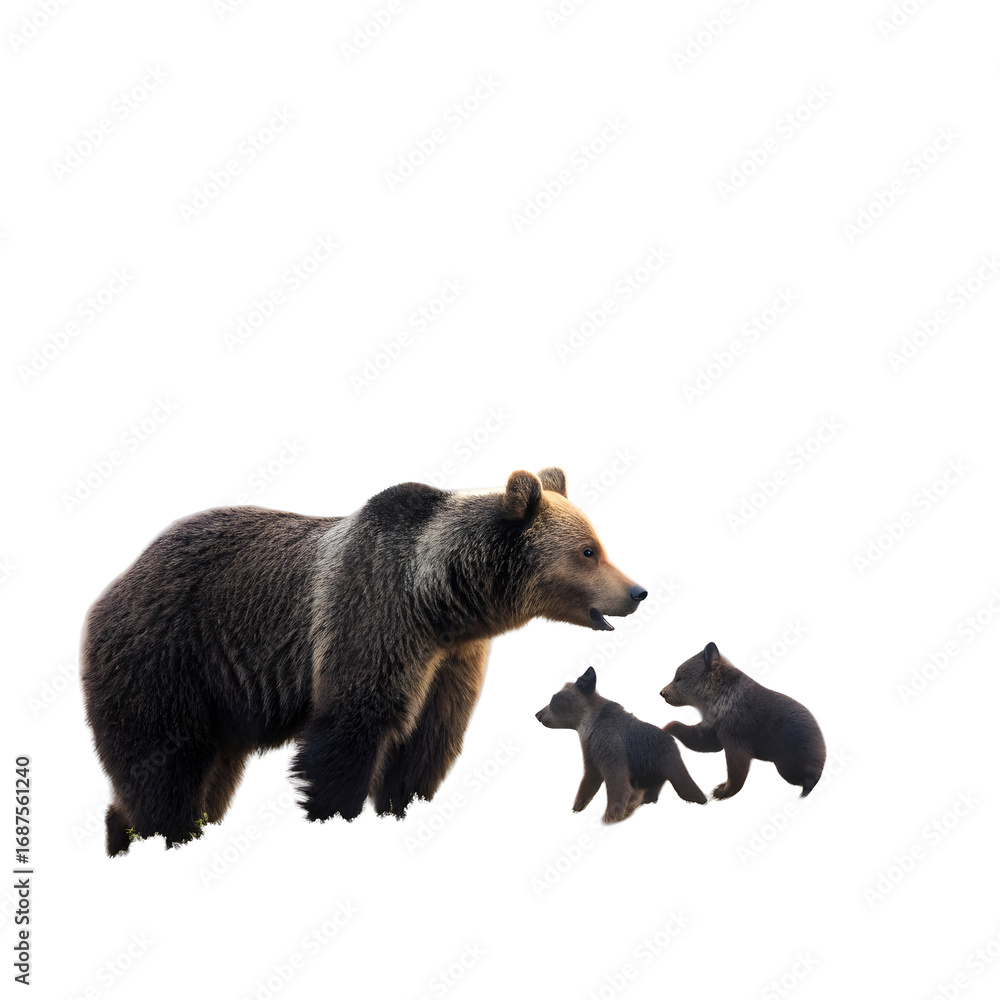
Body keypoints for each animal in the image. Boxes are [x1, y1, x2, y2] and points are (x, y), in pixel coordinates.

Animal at [81, 467, 647, 855]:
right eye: (589, 551)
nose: (636, 592)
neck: (442, 600)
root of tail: (116, 584)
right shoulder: (374, 617)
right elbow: (352, 727)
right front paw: (335, 814)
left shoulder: (451, 662)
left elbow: (426, 742)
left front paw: (403, 805)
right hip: (170, 657)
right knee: (162, 764)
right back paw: (166, 833)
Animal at [535, 666, 707, 822]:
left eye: (553, 698)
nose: (538, 714)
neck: (589, 722)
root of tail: (672, 741)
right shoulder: (591, 748)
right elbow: (592, 778)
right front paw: (578, 807)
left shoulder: (607, 741)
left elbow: (613, 781)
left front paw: (609, 816)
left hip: (664, 760)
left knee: (683, 785)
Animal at [660, 642, 826, 799]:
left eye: (679, 677)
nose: (663, 692)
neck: (718, 698)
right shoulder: (715, 725)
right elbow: (704, 741)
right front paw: (667, 727)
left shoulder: (735, 728)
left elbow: (737, 764)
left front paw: (721, 790)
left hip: (791, 756)